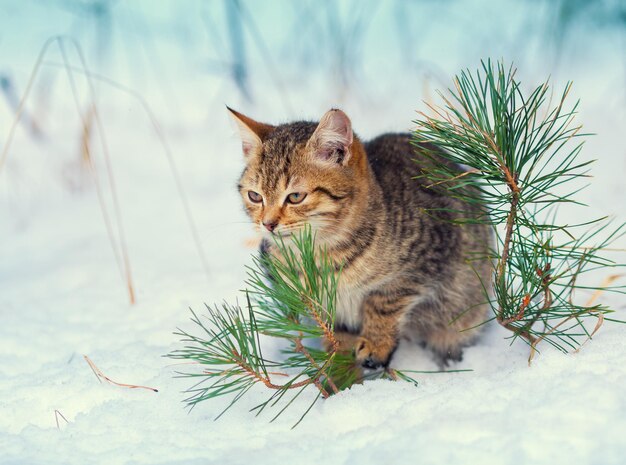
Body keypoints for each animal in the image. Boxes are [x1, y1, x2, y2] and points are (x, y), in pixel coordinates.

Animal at [229, 107, 492, 368]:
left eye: (295, 197)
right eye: (255, 196)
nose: (268, 224)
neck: (320, 255)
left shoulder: (430, 252)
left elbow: (384, 301)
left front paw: (376, 343)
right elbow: (333, 328)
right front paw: (339, 358)